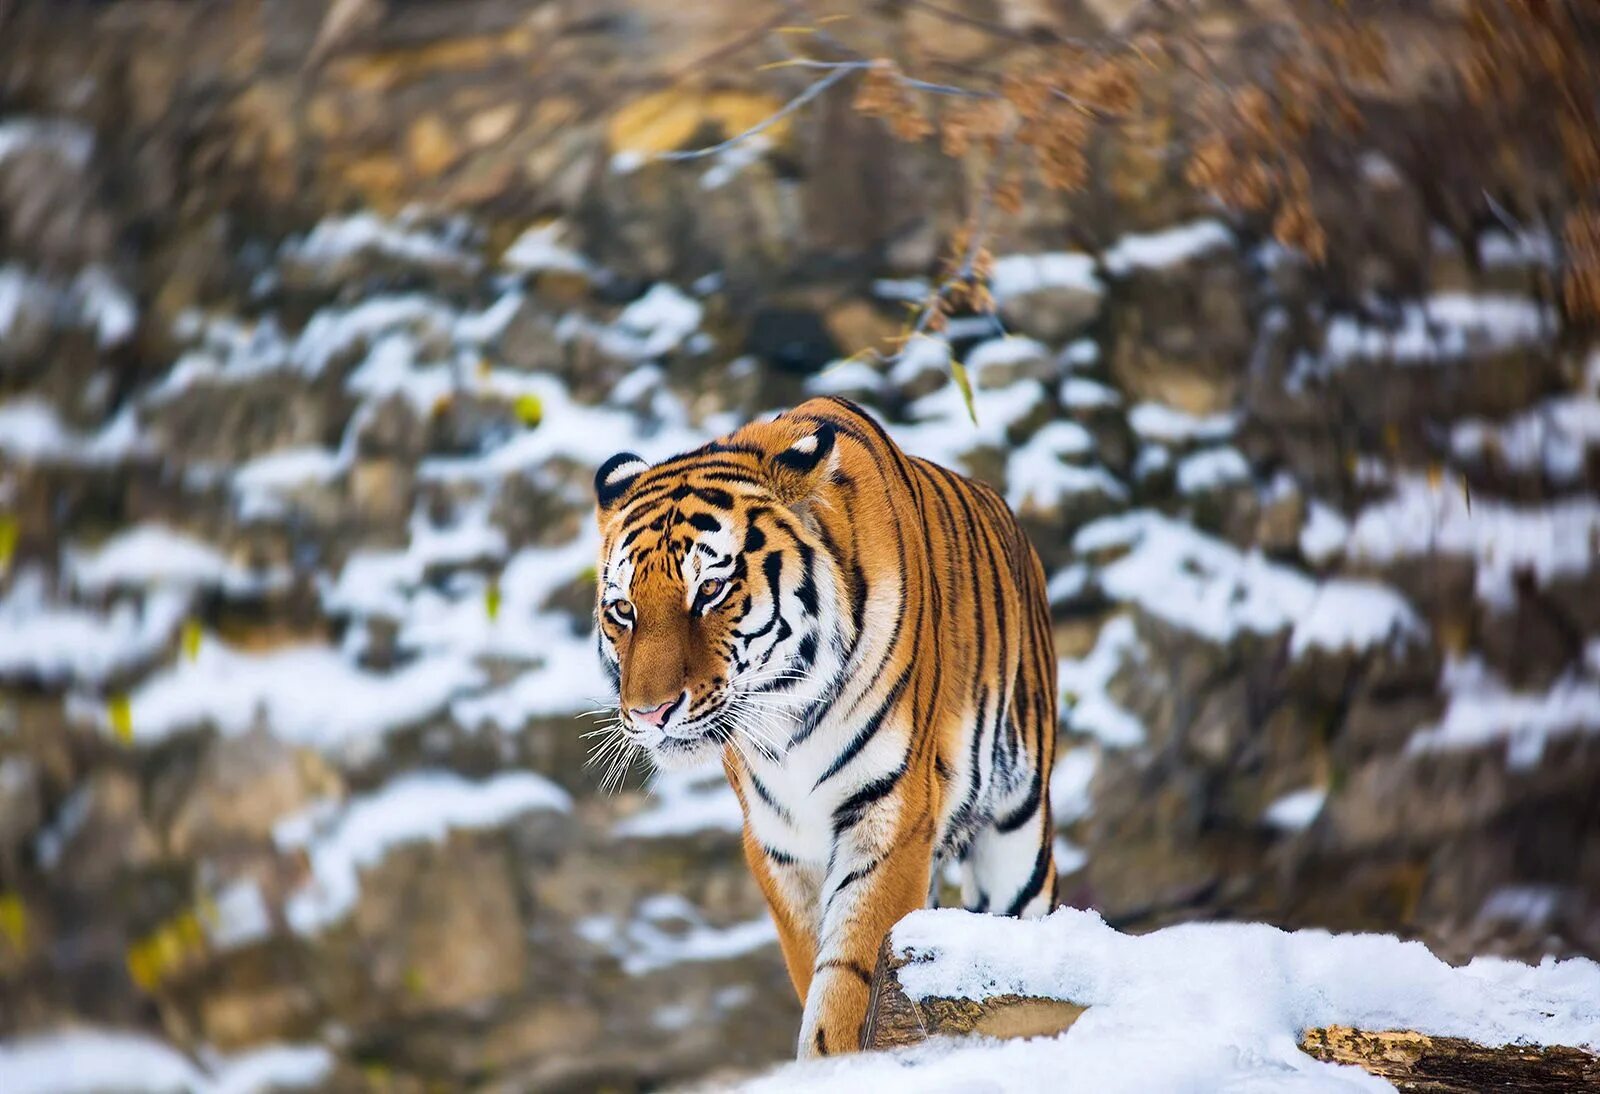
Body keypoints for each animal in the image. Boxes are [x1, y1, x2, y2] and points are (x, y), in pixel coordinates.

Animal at [595, 396, 1056, 1055]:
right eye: (622, 609)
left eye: (710, 589)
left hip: (1018, 833)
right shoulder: (778, 838)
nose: (648, 714)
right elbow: (812, 959)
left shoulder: (892, 810)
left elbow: (847, 973)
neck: (786, 716)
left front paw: (834, 1053)